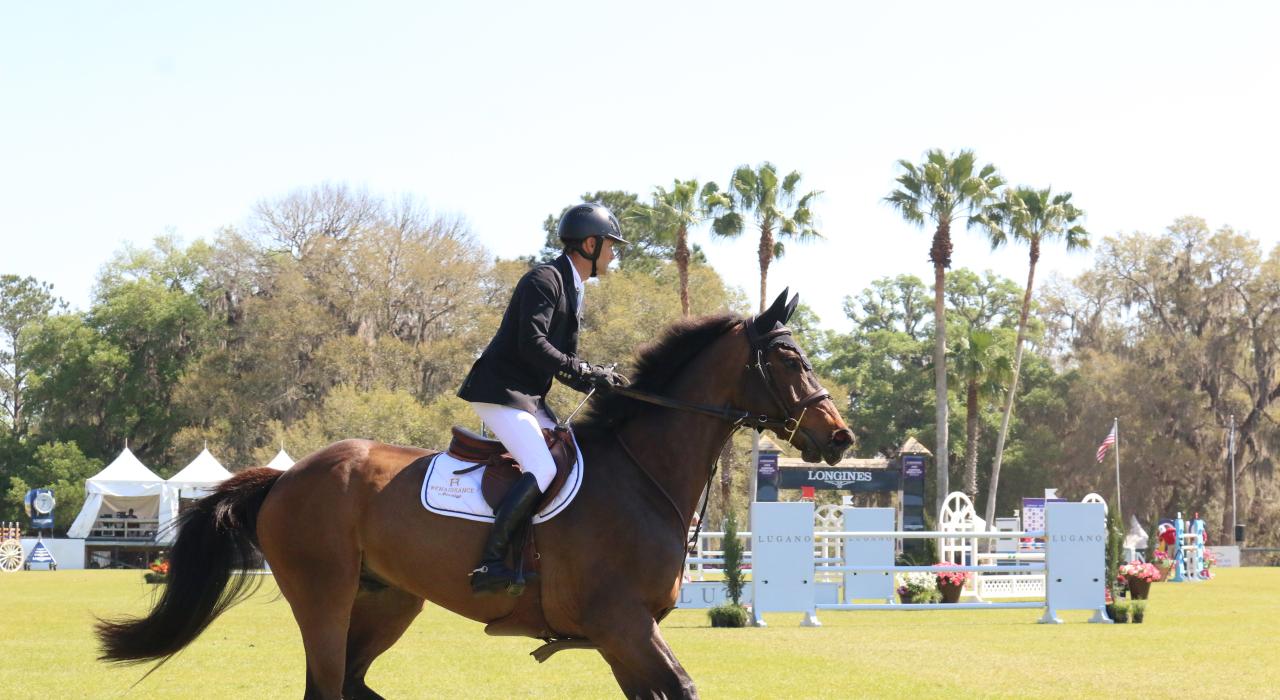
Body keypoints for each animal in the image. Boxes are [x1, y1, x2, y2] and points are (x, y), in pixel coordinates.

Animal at [96, 290, 853, 699]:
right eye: (789, 358)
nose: (840, 437)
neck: (644, 475)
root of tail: (288, 476)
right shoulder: (622, 625)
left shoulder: (625, 637)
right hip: (324, 595)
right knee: (326, 685)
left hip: (388, 600)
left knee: (351, 682)